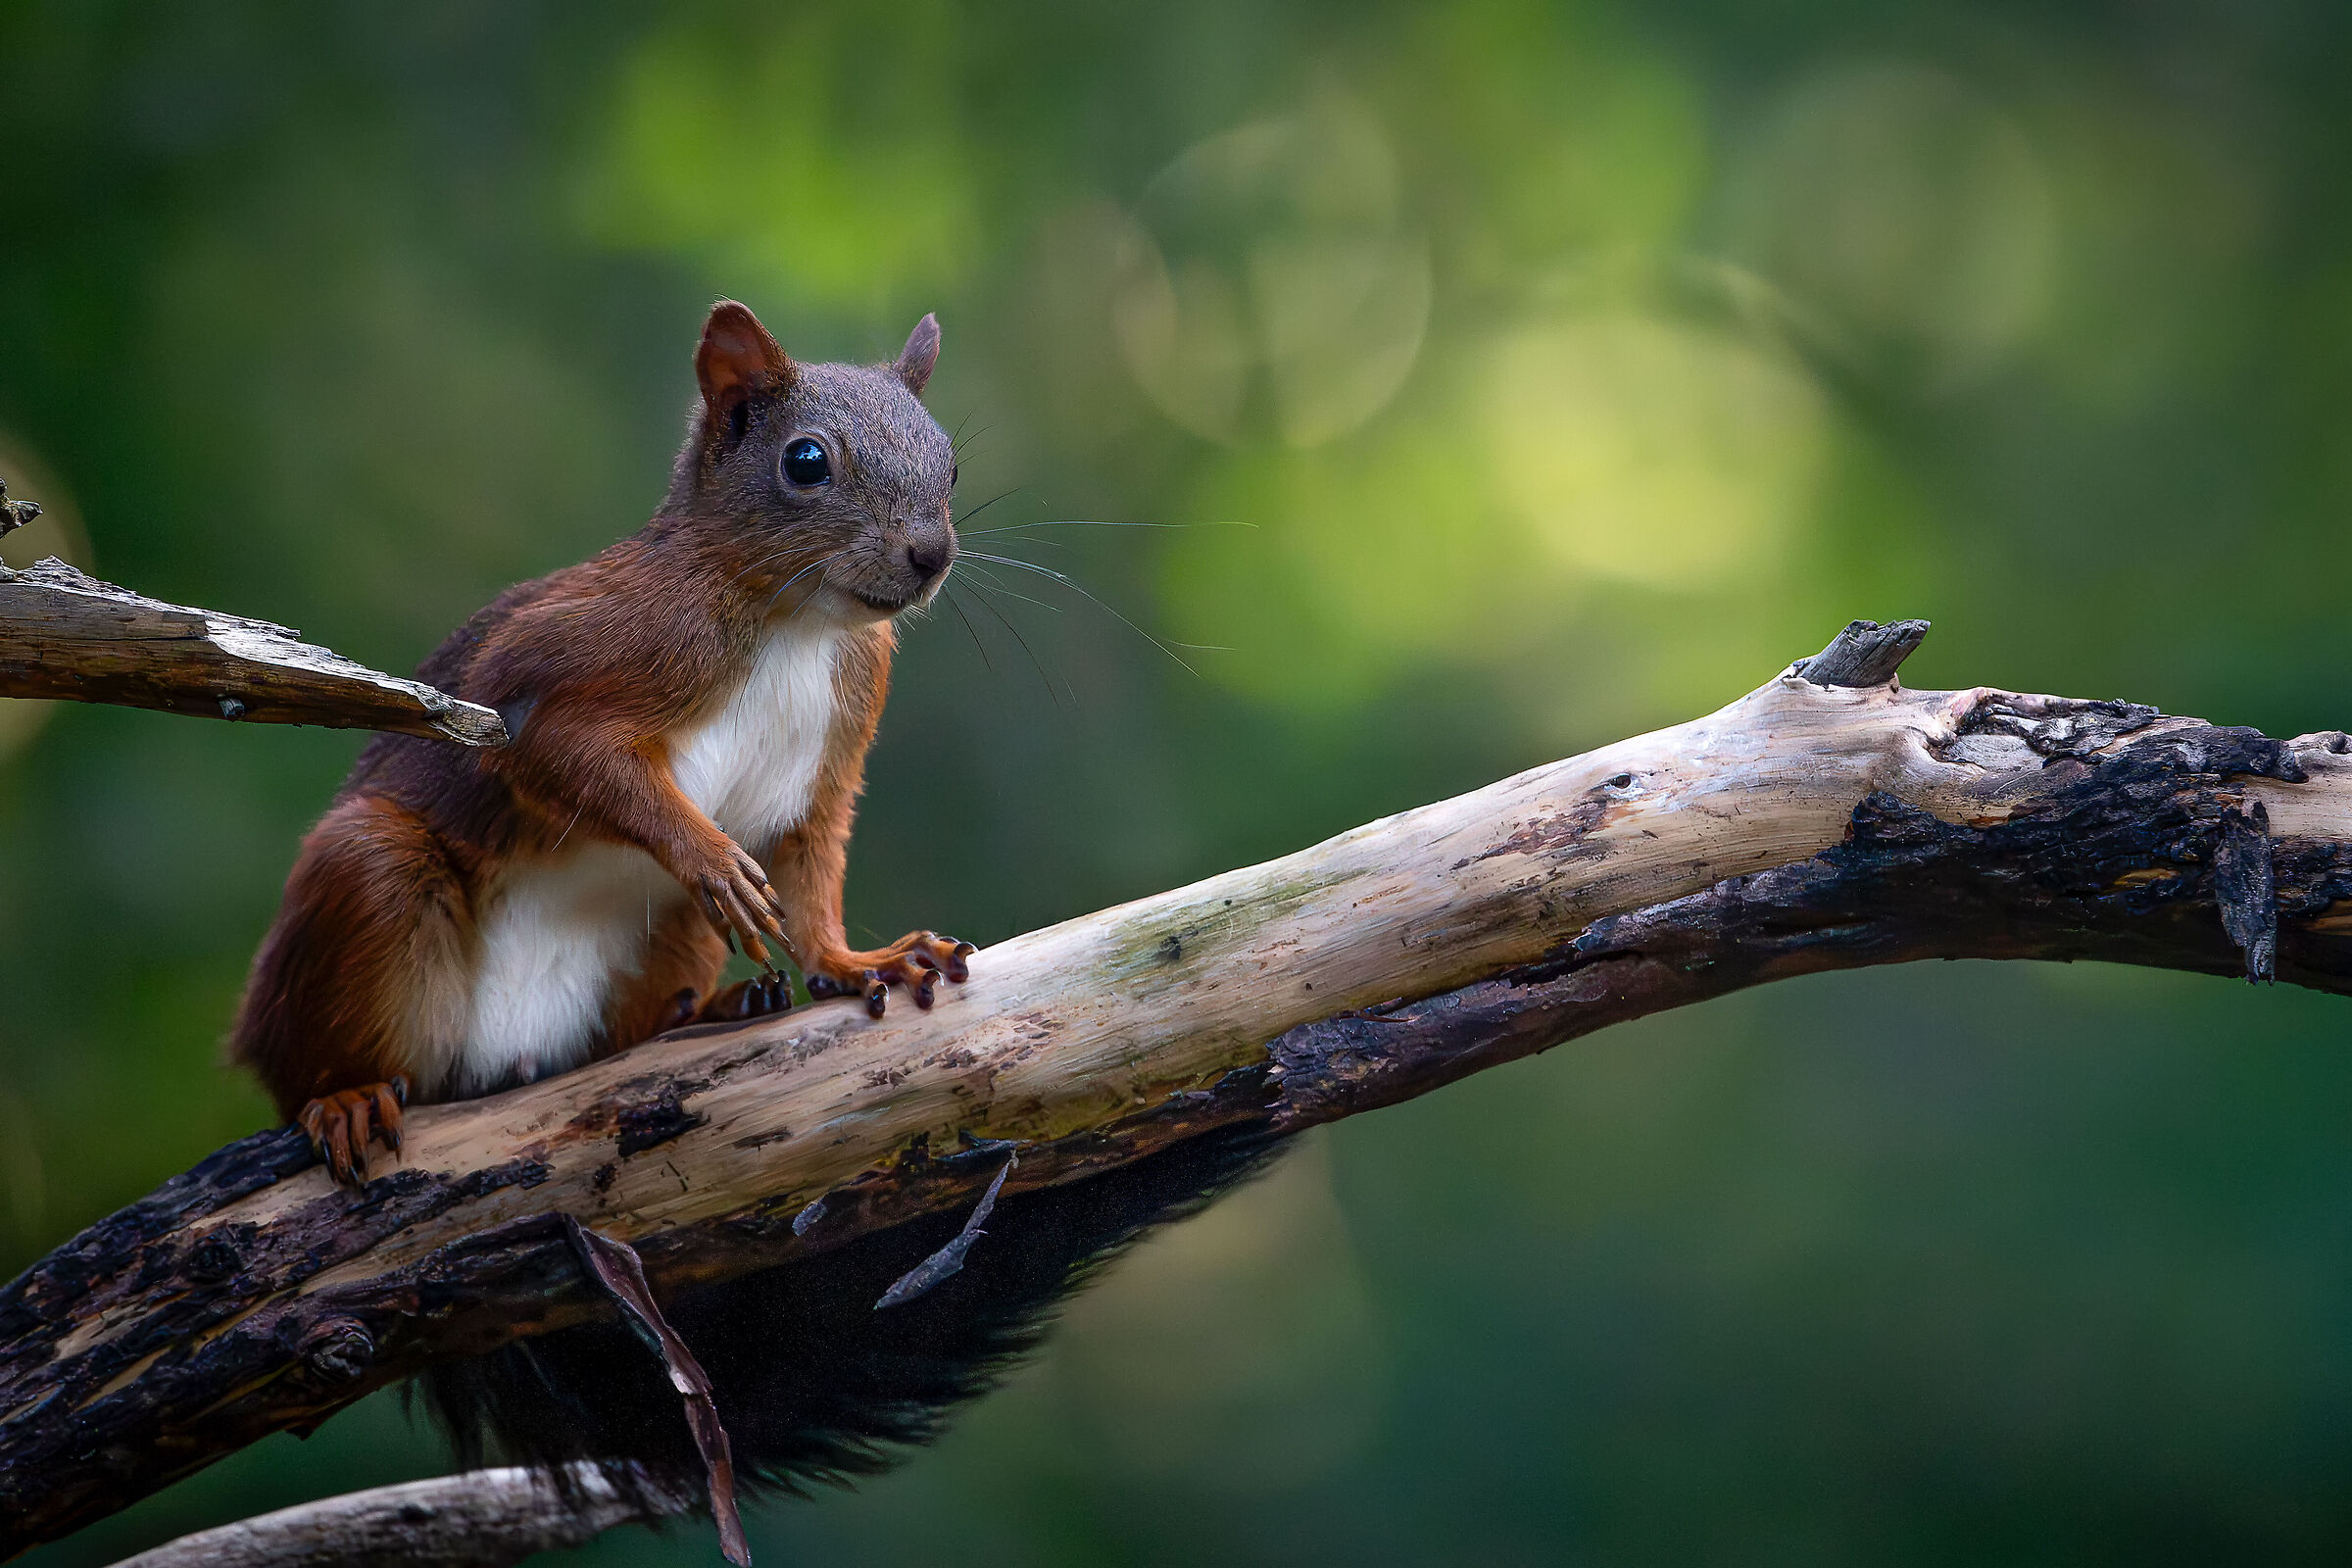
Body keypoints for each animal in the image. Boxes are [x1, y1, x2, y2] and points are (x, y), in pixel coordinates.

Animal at [235, 299, 1286, 1506]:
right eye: (806, 462)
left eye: (951, 462)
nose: (930, 555)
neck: (798, 623)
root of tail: (496, 1069)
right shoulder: (552, 673)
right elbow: (574, 758)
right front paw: (705, 852)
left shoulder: (837, 747)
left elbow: (814, 867)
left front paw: (857, 962)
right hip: (368, 888)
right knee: (313, 1049)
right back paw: (346, 1096)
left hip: (655, 943)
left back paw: (701, 1015)